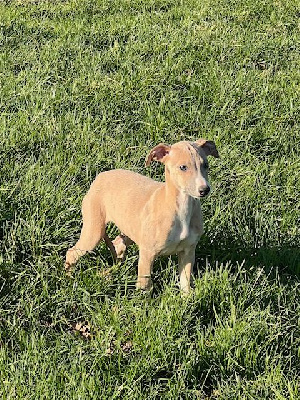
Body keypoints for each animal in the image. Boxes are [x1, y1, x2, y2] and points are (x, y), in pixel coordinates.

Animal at [65, 140, 219, 294]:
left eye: (206, 165)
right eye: (183, 167)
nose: (204, 189)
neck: (181, 207)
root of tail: (101, 176)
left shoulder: (188, 251)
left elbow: (185, 283)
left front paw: (187, 299)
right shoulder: (147, 254)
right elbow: (145, 286)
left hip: (131, 228)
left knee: (118, 243)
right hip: (94, 232)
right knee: (72, 252)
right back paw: (70, 279)